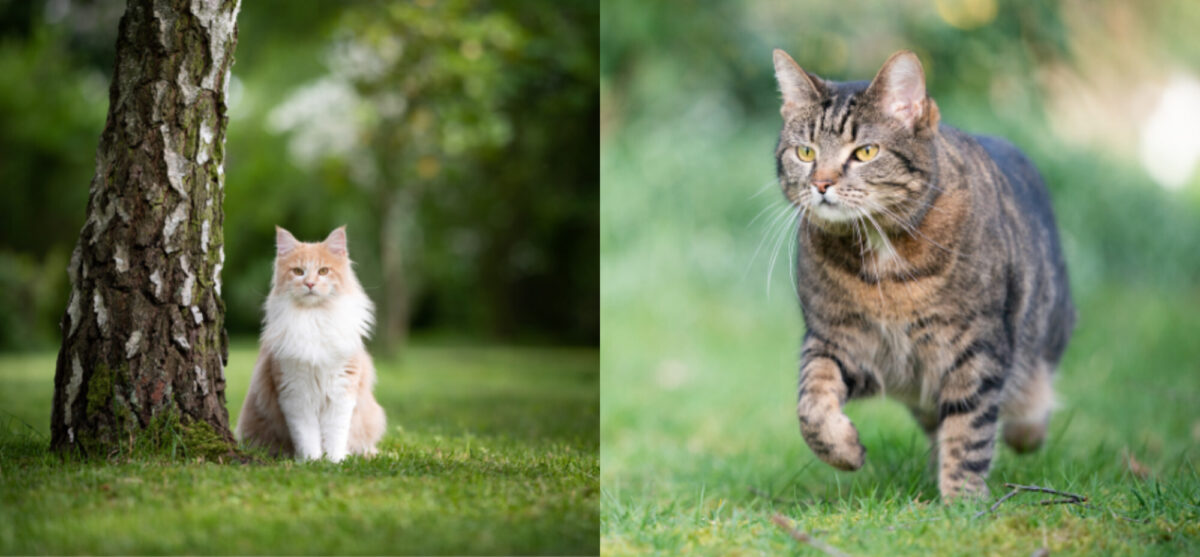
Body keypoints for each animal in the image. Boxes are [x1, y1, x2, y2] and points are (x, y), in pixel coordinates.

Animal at [234, 225, 384, 460]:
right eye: (298, 271)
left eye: (323, 271)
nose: (310, 283)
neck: (314, 318)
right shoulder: (295, 394)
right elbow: (307, 437)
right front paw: (311, 461)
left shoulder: (341, 391)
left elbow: (335, 436)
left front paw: (335, 461)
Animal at [772, 50, 1075, 499]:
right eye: (806, 152)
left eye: (865, 152)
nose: (821, 183)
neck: (883, 262)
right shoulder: (836, 339)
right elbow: (811, 405)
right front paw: (846, 450)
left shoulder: (975, 349)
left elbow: (968, 430)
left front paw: (962, 503)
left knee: (1027, 402)